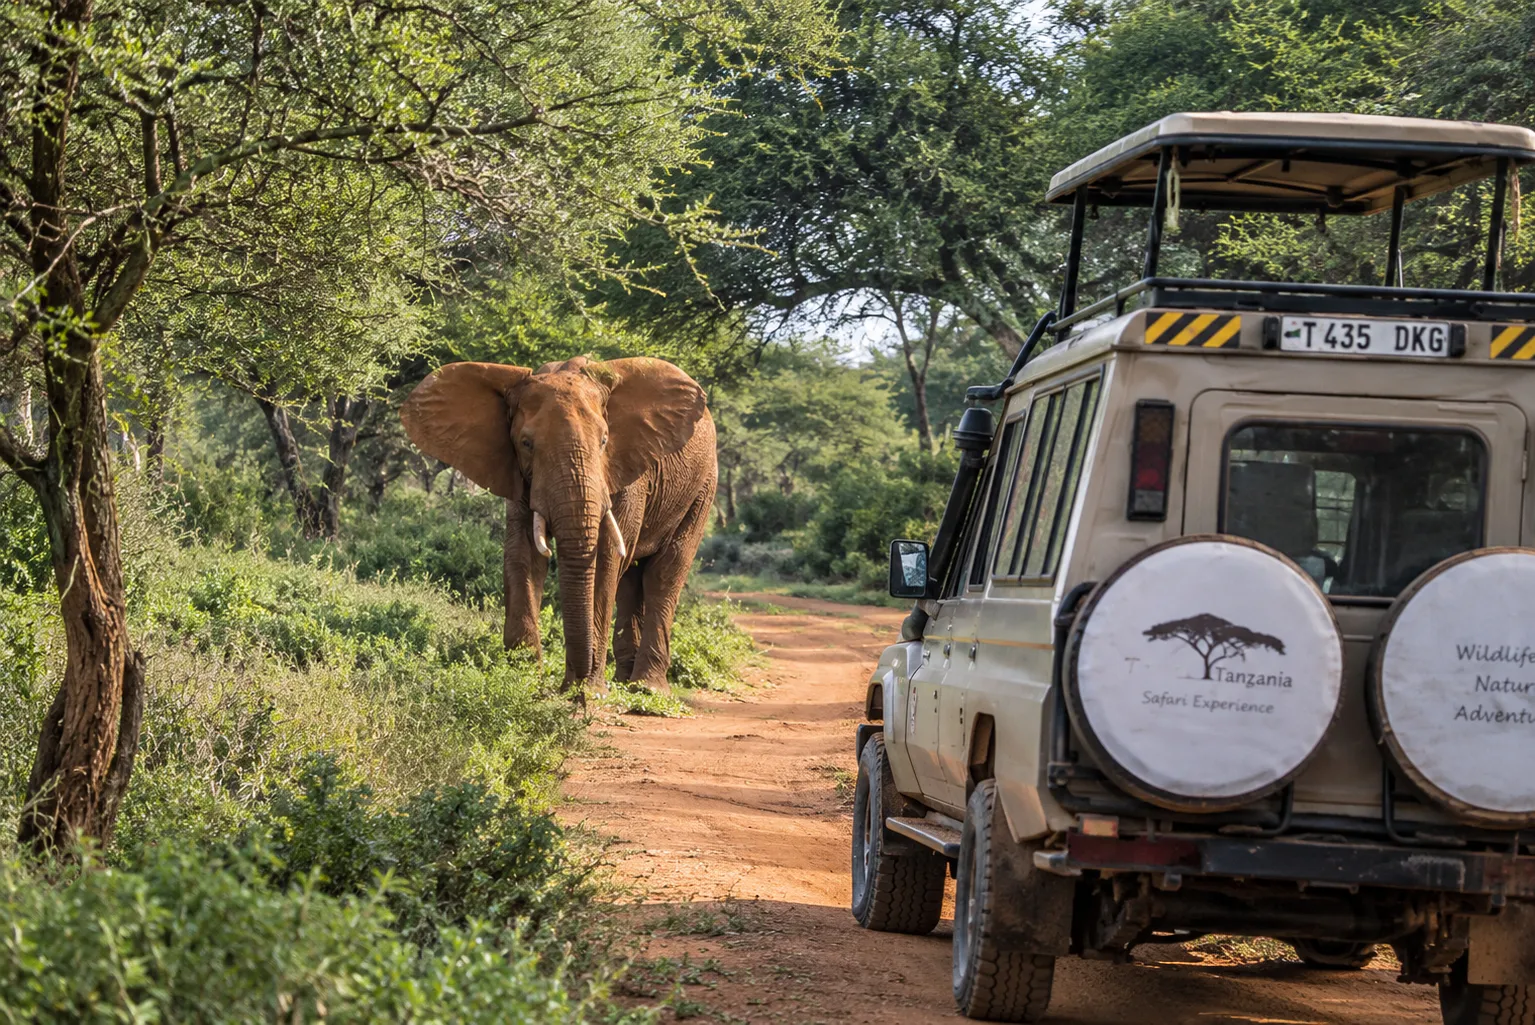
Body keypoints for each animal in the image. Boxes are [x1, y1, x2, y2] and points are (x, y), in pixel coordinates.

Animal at [400, 355, 717, 695]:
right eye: (526, 443)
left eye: (604, 441)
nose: (570, 687)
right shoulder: (518, 475)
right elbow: (523, 553)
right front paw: (523, 680)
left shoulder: (624, 470)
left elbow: (604, 558)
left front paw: (590, 691)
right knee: (632, 579)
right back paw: (624, 681)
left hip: (703, 487)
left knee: (665, 573)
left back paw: (647, 689)